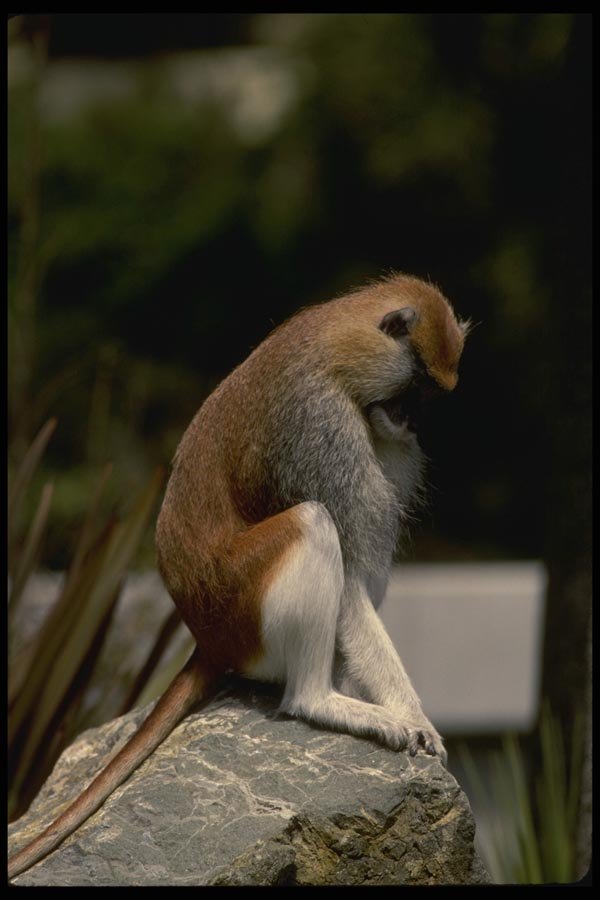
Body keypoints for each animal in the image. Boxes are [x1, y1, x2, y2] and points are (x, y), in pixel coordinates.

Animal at [8, 272, 469, 880]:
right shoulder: (320, 430)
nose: (411, 422)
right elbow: (347, 578)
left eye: (427, 397)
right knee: (311, 523)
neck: (340, 344)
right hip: (244, 602)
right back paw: (320, 699)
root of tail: (208, 639)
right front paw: (412, 718)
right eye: (410, 389)